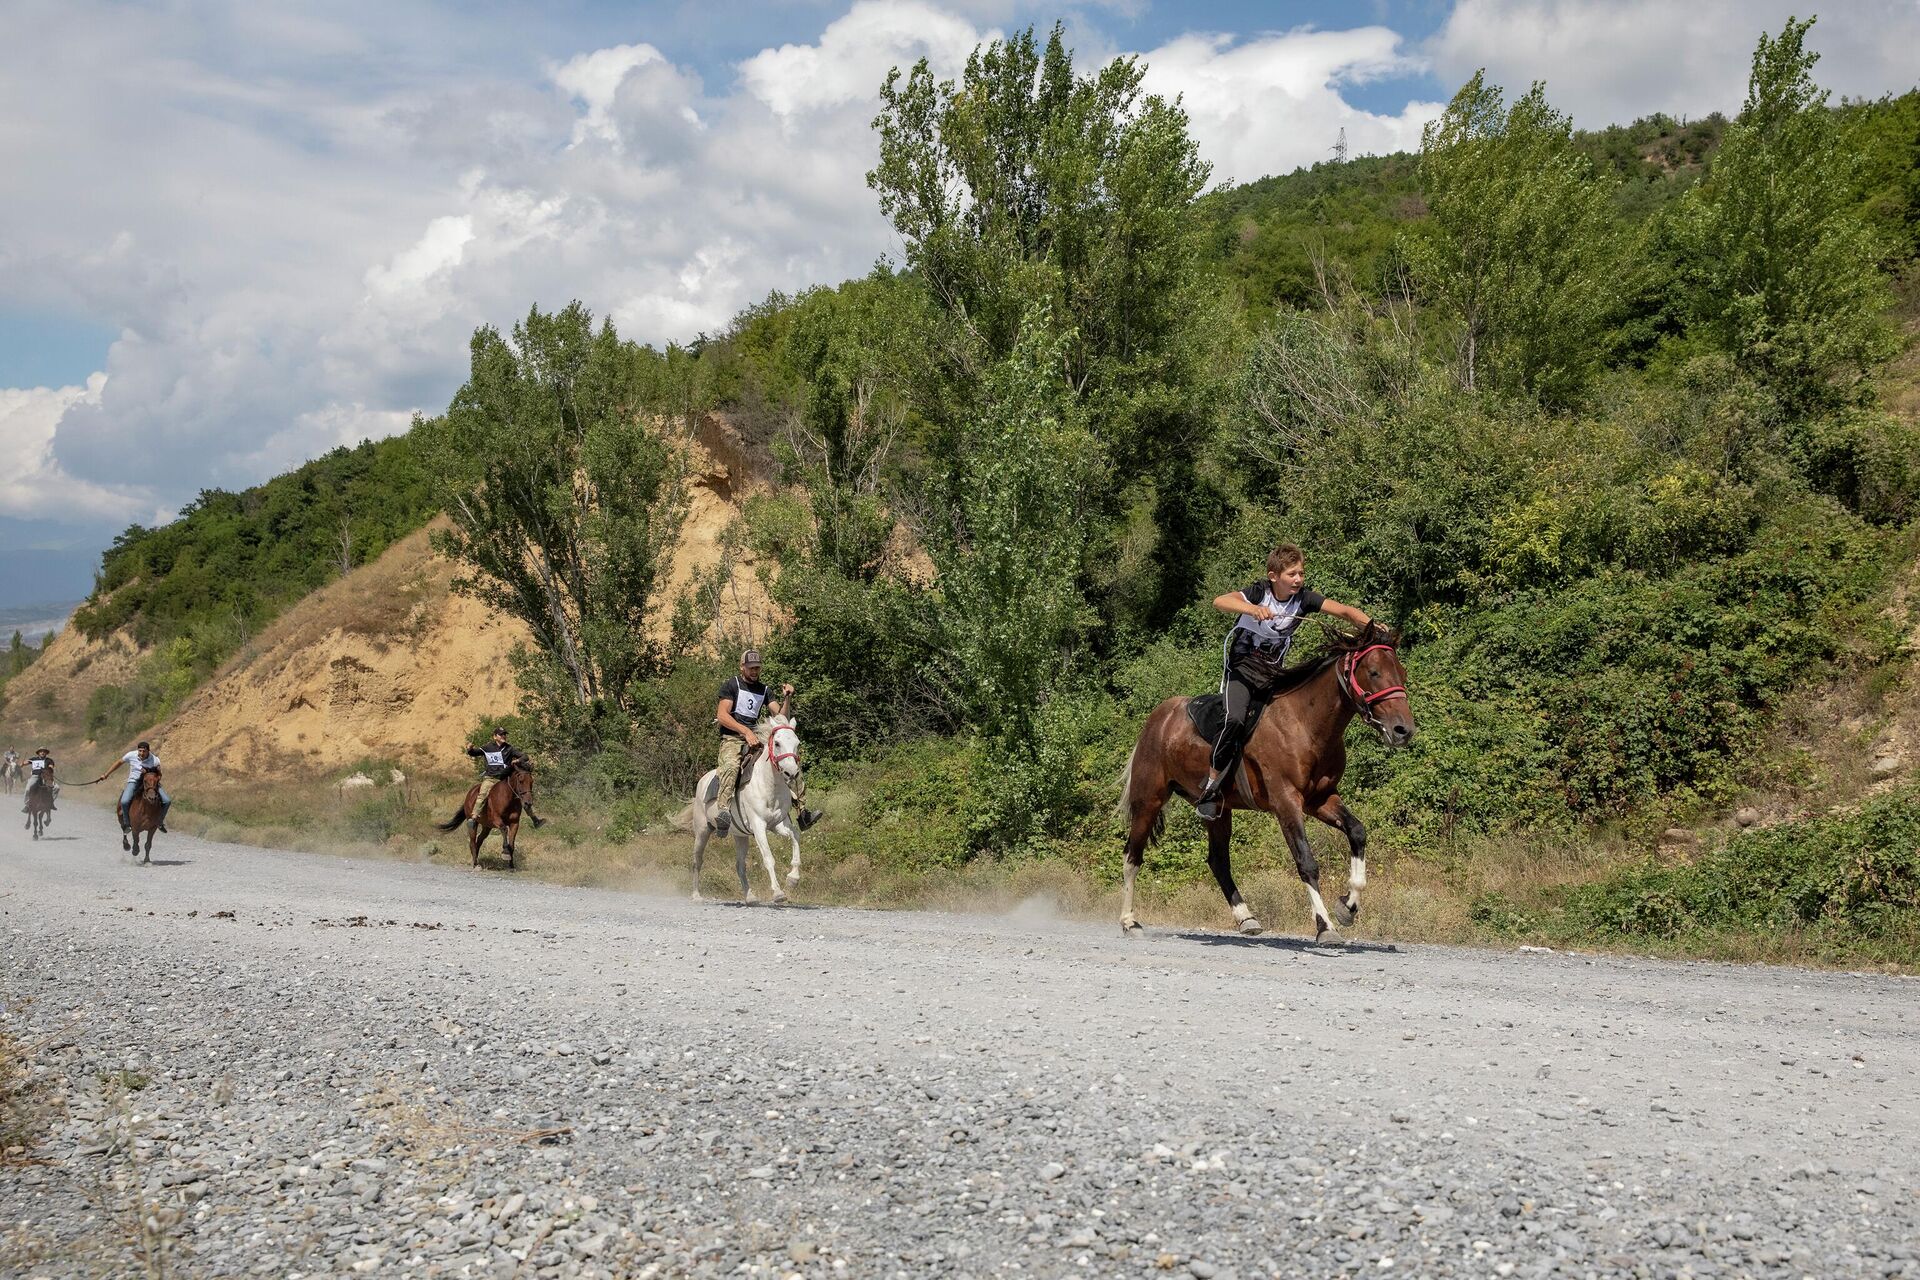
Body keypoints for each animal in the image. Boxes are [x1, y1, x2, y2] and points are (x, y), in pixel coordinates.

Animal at [687, 717, 806, 905]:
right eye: (777, 743)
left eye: (797, 743)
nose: (791, 773)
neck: (770, 785)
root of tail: (702, 781)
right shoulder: (758, 826)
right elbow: (768, 858)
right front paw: (778, 893)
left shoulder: (778, 824)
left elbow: (795, 836)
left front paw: (793, 879)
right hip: (702, 830)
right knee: (697, 860)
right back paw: (696, 895)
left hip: (740, 836)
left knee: (740, 865)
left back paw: (750, 896)